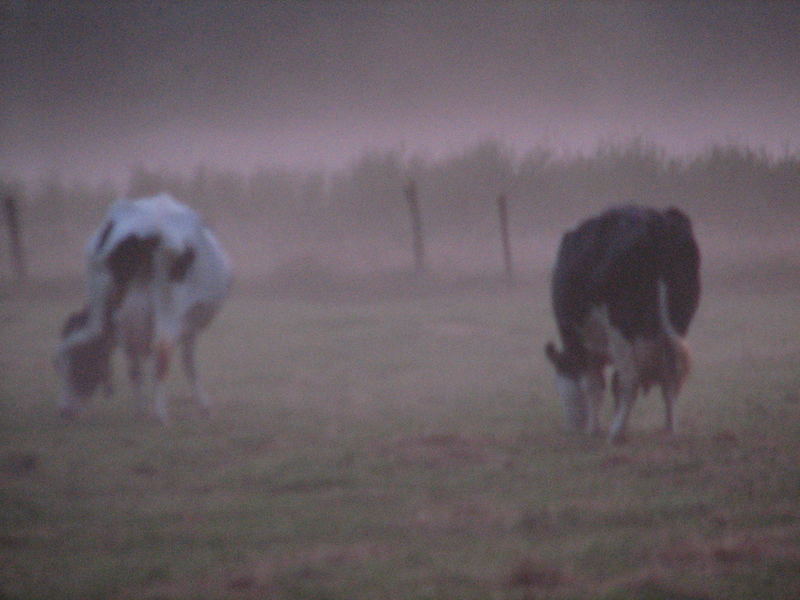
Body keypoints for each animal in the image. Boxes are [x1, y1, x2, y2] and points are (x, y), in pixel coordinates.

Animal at [55, 195, 231, 424]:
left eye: (79, 364)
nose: (64, 412)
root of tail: (154, 228)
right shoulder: (190, 320)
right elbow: (188, 362)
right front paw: (203, 406)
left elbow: (140, 364)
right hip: (167, 301)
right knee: (161, 349)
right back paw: (159, 413)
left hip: (105, 293)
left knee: (112, 339)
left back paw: (148, 411)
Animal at [544, 206, 700, 446]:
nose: (572, 428)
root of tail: (654, 221)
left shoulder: (579, 341)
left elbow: (594, 385)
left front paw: (594, 428)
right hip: (678, 320)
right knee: (670, 377)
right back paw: (670, 428)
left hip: (621, 327)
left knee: (631, 380)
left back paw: (616, 433)